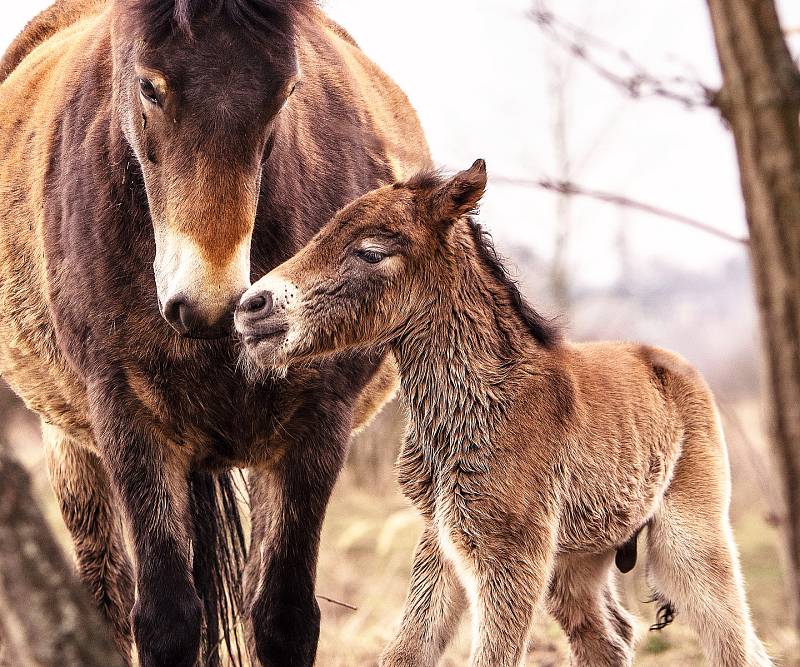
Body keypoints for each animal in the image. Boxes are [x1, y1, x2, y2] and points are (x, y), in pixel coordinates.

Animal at [236, 159, 768, 664]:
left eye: (370, 251)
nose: (251, 305)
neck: (478, 406)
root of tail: (679, 368)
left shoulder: (508, 553)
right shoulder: (442, 537)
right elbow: (407, 649)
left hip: (690, 536)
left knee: (737, 642)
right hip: (577, 556)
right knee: (611, 637)